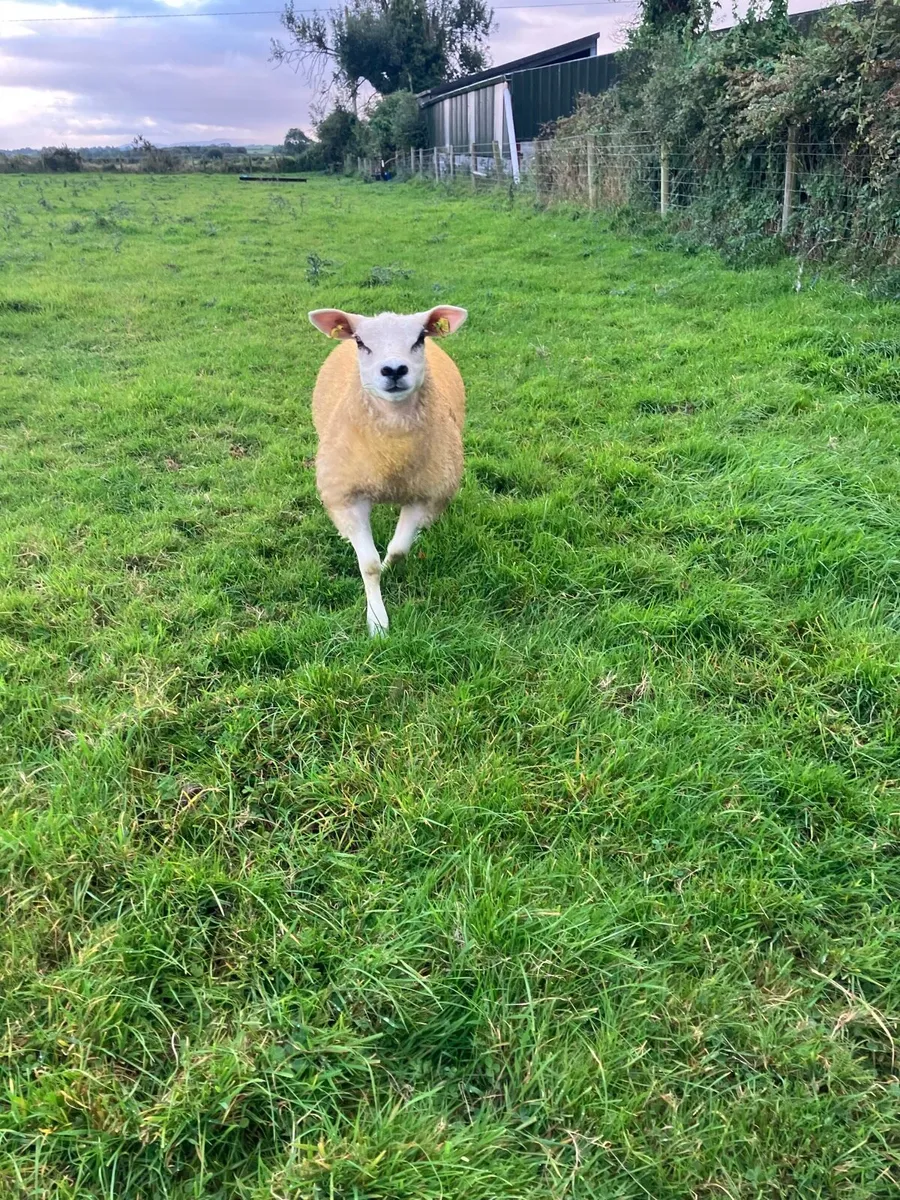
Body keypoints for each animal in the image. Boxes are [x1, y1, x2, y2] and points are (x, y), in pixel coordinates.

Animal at [308, 305, 468, 636]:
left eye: (420, 338)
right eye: (360, 342)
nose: (394, 370)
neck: (391, 460)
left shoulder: (427, 496)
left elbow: (398, 550)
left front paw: (388, 568)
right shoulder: (347, 496)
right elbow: (367, 564)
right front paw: (378, 622)